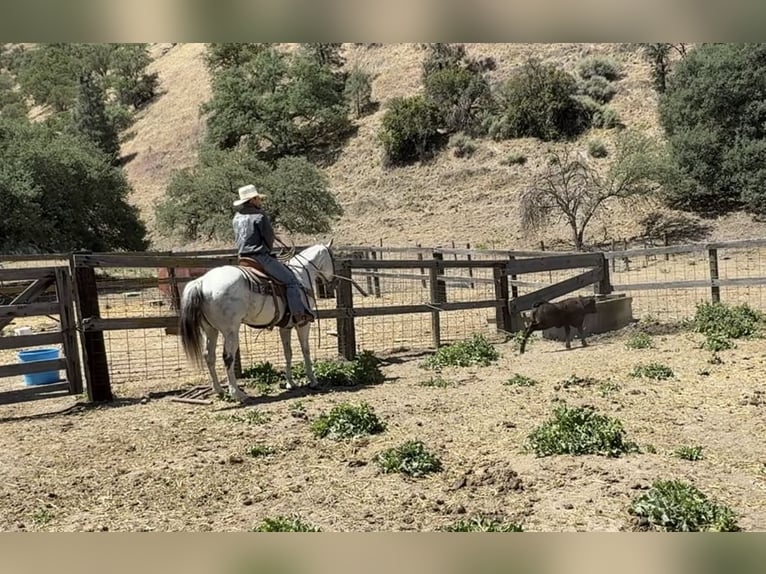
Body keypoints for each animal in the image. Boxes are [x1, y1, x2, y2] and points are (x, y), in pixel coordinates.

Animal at [179, 243, 337, 402]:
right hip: (230, 332)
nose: (332, 282)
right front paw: (313, 381)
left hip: (210, 329)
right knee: (228, 358)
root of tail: (201, 282)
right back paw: (237, 394)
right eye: (333, 258)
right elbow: (306, 350)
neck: (301, 275)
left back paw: (219, 390)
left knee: (209, 356)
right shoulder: (303, 324)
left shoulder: (286, 327)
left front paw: (290, 383)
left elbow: (288, 352)